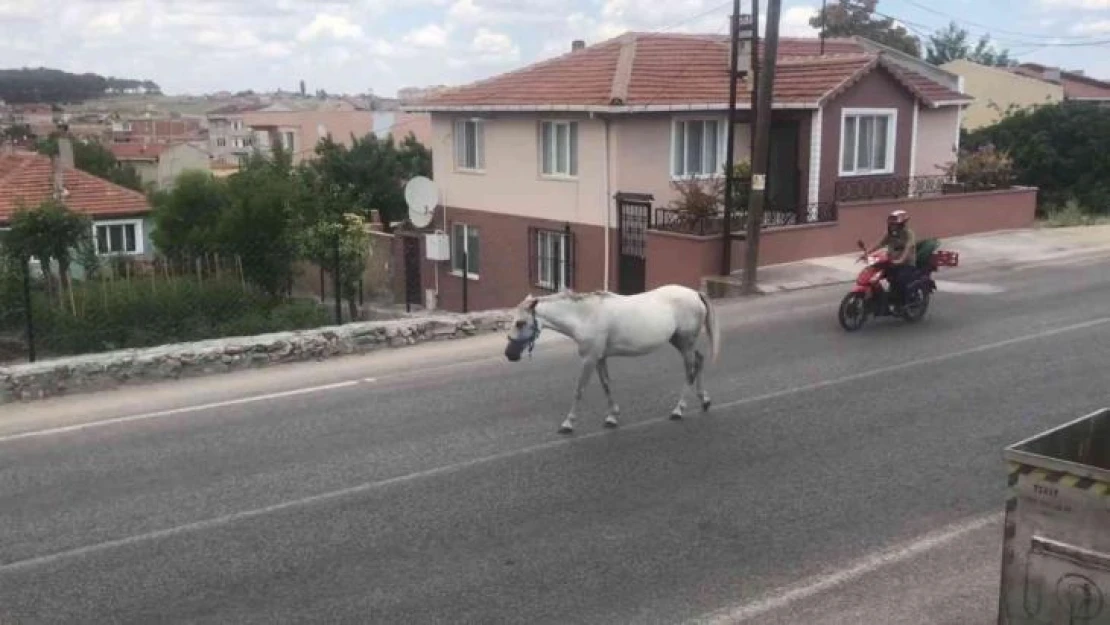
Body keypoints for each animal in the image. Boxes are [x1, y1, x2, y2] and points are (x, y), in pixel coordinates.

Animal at [503, 284, 719, 435]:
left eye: (520, 323)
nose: (509, 354)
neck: (585, 316)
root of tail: (695, 293)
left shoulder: (589, 359)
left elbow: (579, 390)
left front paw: (568, 423)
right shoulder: (600, 358)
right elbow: (606, 385)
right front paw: (612, 417)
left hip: (686, 343)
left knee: (690, 372)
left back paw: (679, 410)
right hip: (680, 342)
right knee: (699, 361)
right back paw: (705, 401)